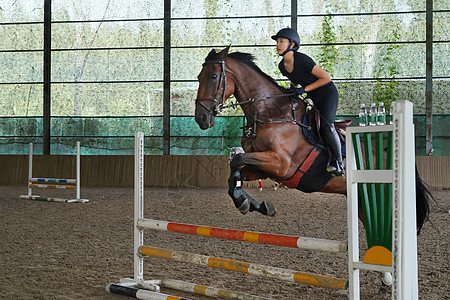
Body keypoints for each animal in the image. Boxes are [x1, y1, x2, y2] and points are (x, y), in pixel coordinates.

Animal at [194, 47, 432, 237]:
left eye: (214, 76)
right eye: (198, 76)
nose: (201, 118)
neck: (269, 113)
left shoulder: (280, 164)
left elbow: (237, 160)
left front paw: (247, 203)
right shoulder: (265, 168)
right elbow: (234, 175)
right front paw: (254, 205)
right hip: (361, 202)